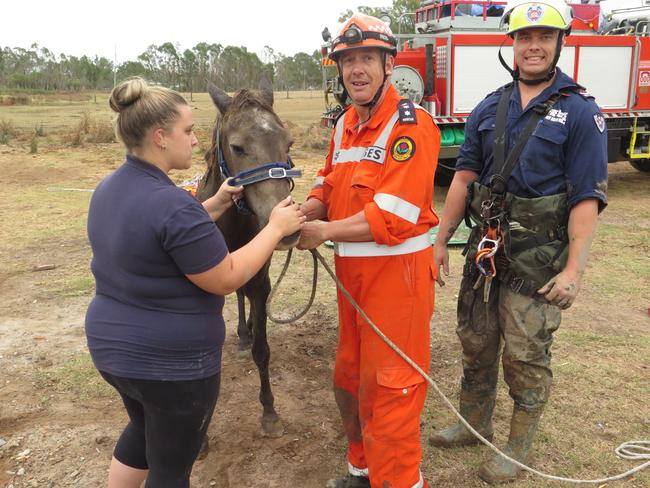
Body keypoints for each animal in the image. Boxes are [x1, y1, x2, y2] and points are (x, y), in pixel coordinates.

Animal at [196, 78, 298, 436]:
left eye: (288, 142)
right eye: (238, 147)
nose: (286, 225)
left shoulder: (261, 281)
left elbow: (263, 350)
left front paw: (269, 411)